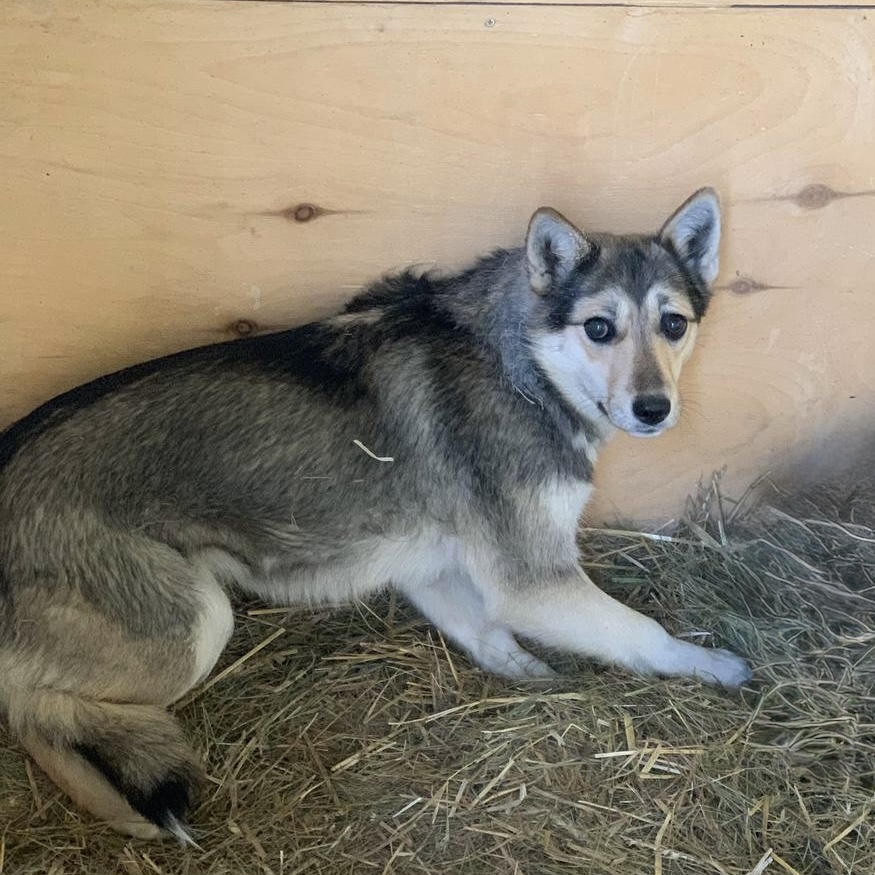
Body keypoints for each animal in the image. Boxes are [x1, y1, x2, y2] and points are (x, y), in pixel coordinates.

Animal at [0, 188, 751, 841]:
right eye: (599, 327)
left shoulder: (431, 566)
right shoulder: (532, 579)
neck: (521, 367)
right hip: (195, 623)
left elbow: (486, 632)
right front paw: (711, 665)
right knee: (30, 704)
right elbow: (642, 632)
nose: (654, 409)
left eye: (673, 324)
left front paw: (527, 672)